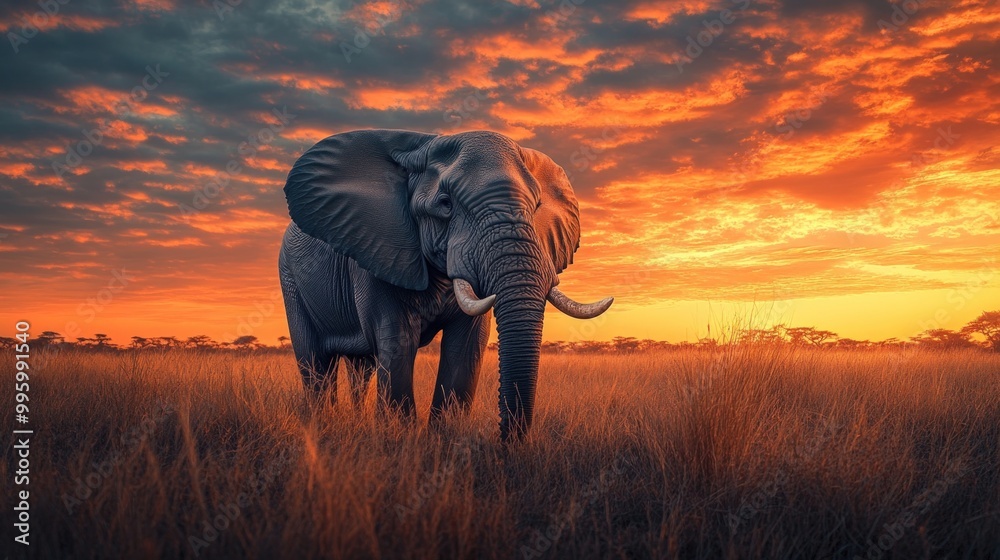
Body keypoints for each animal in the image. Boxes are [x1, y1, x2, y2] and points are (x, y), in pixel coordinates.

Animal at [278, 129, 613, 441]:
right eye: (445, 204)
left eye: (536, 205)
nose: (506, 443)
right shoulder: (376, 252)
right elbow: (398, 341)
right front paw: (400, 439)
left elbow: (466, 346)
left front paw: (445, 437)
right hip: (290, 279)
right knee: (315, 364)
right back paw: (325, 426)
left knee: (362, 367)